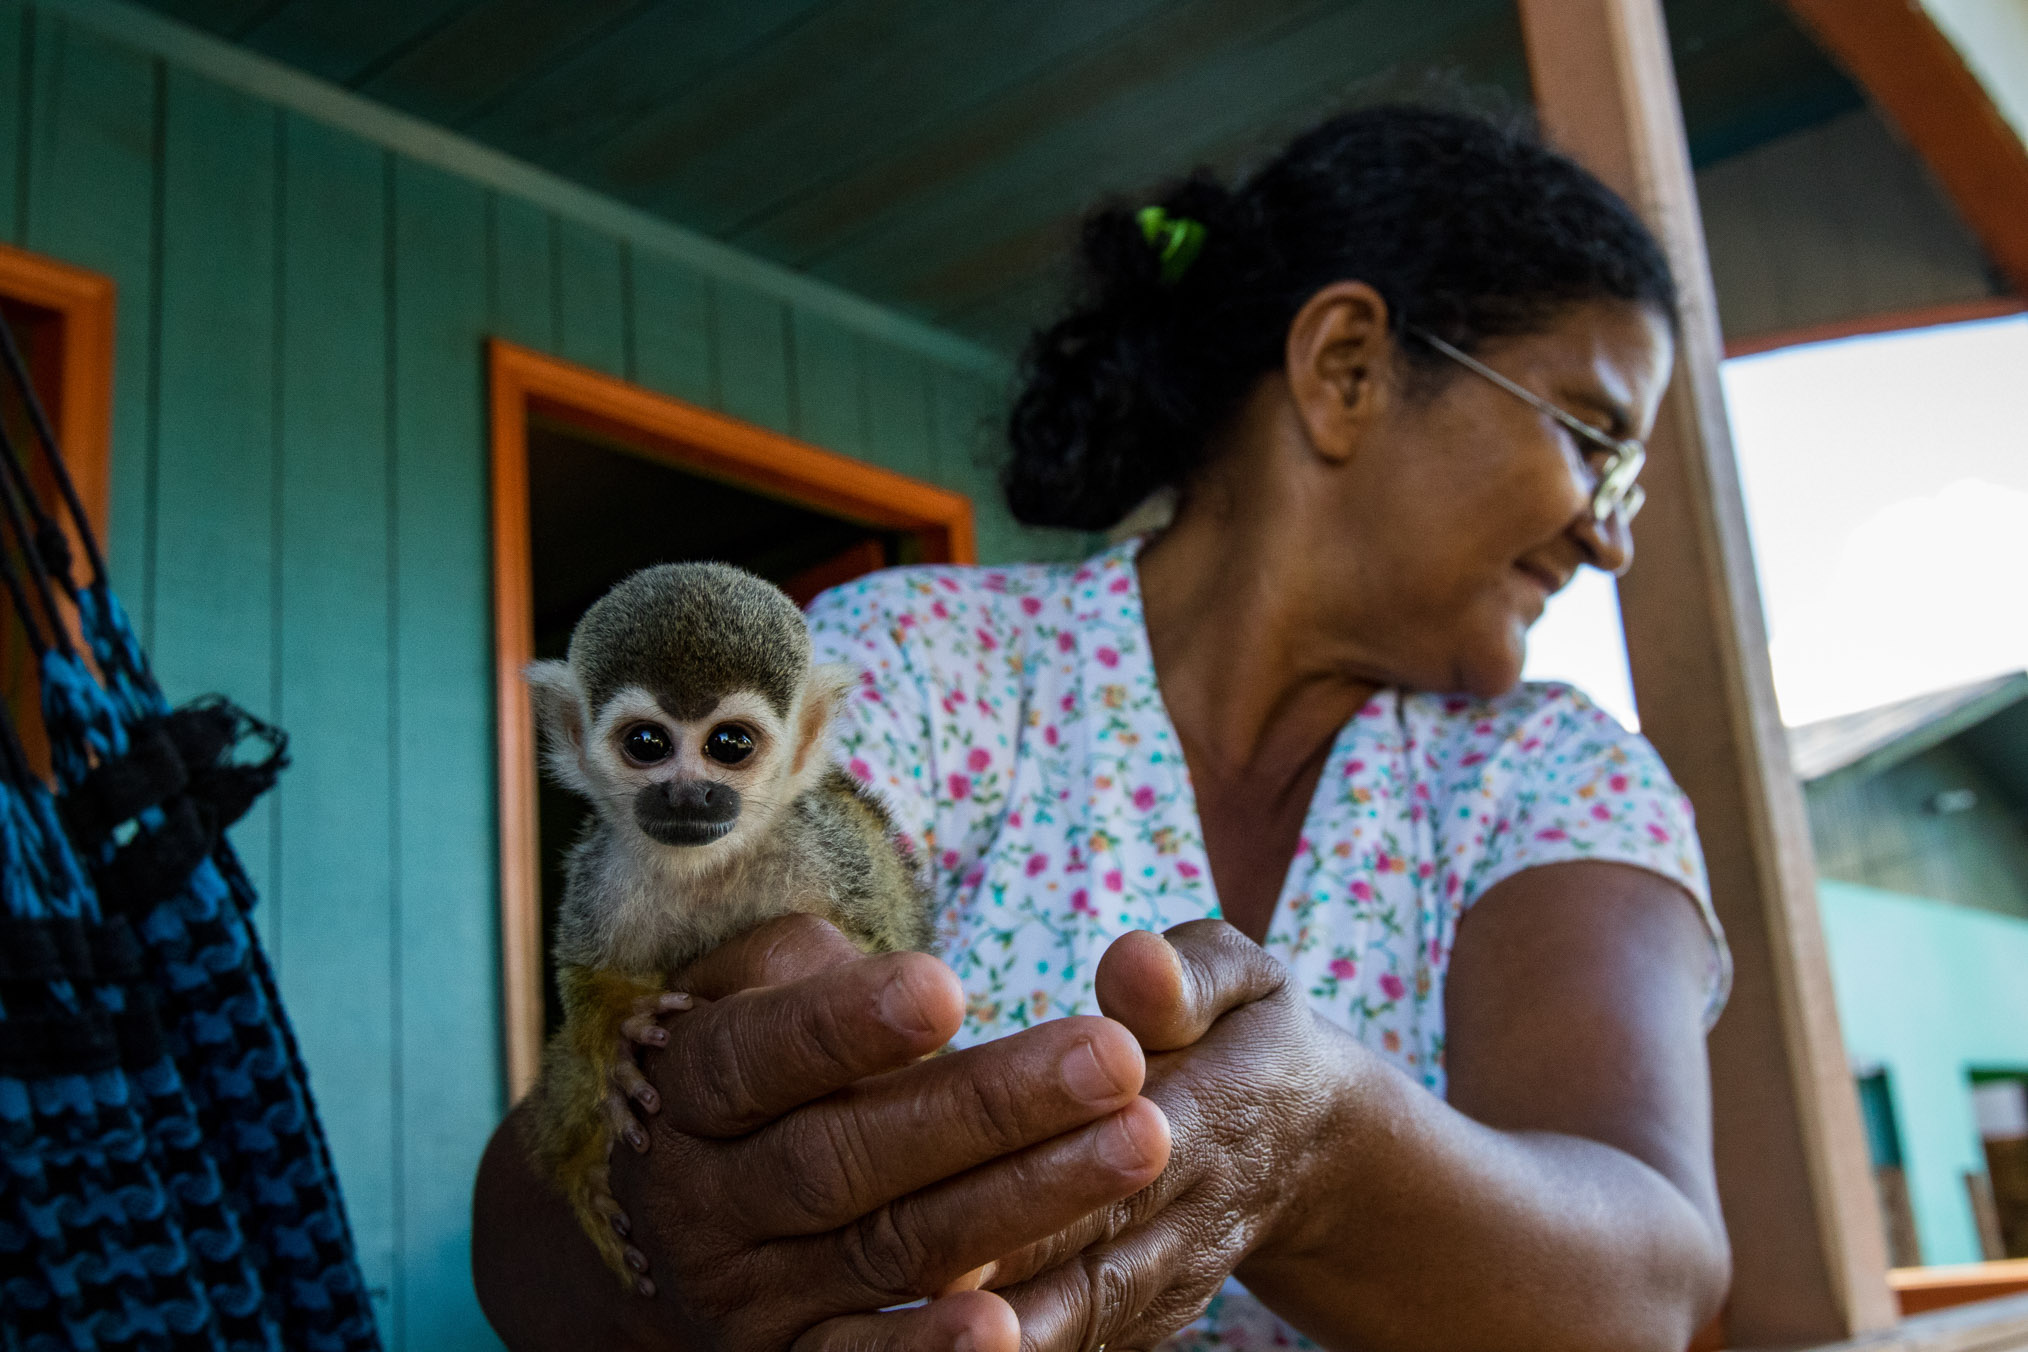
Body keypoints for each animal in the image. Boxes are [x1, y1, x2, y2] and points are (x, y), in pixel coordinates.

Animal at [520, 561, 934, 1294]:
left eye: (729, 745)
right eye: (647, 744)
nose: (689, 793)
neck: (709, 863)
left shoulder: (826, 848)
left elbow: (886, 944)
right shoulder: (603, 869)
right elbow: (587, 971)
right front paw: (618, 1031)